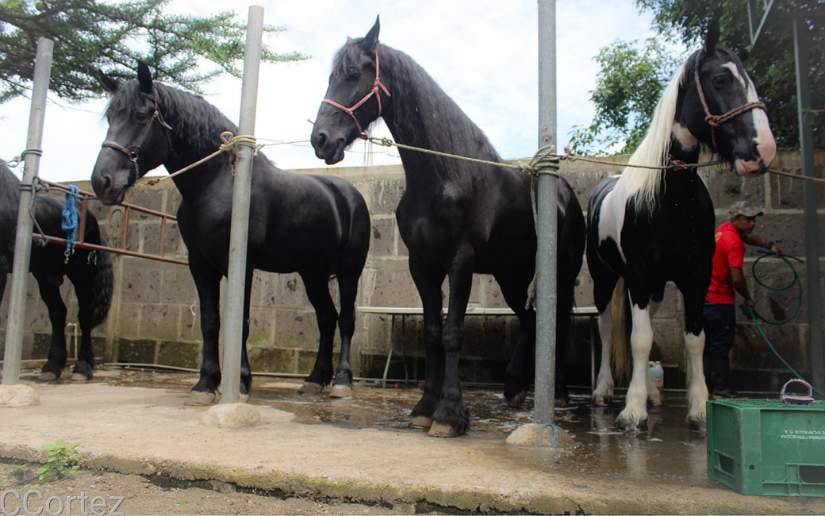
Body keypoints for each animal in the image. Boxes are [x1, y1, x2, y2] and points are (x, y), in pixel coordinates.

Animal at [1, 161, 113, 381]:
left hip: (81, 274)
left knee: (84, 316)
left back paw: (82, 368)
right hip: (46, 274)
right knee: (58, 312)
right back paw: (52, 367)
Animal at [89, 63, 371, 403]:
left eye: (141, 116)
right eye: (110, 117)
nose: (102, 181)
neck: (217, 182)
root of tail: (350, 195)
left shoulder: (241, 264)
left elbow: (241, 321)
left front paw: (242, 383)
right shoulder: (200, 265)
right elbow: (211, 323)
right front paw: (205, 384)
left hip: (349, 272)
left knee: (345, 320)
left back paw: (342, 382)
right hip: (312, 273)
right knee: (326, 319)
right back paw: (315, 380)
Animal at [311, 18, 585, 437]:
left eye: (353, 74)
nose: (321, 140)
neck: (441, 177)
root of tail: (567, 195)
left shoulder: (461, 262)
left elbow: (453, 333)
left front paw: (449, 414)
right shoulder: (422, 265)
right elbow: (432, 333)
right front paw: (425, 407)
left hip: (559, 274)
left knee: (558, 324)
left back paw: (560, 395)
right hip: (511, 275)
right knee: (530, 320)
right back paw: (514, 388)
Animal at [587, 19, 776, 430]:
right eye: (720, 79)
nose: (763, 150)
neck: (670, 199)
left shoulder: (695, 277)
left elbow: (694, 339)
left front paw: (699, 408)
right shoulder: (639, 276)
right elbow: (639, 339)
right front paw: (633, 411)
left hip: (655, 287)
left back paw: (652, 393)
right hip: (606, 278)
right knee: (607, 329)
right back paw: (605, 391)